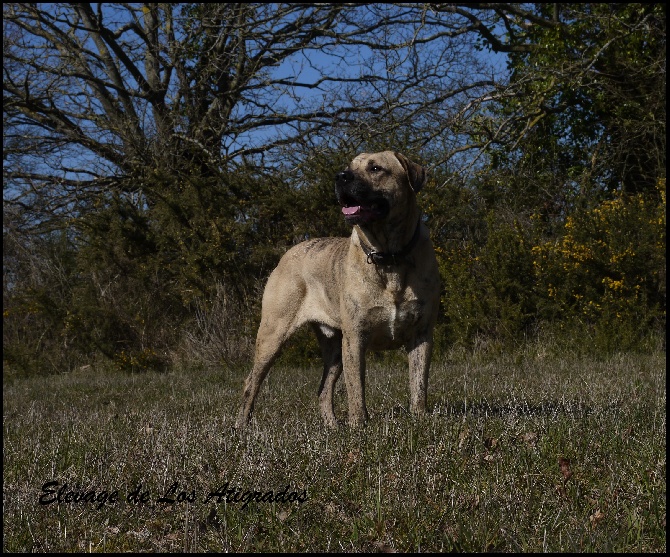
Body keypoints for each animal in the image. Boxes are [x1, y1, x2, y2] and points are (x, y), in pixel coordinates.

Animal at [236, 150, 440, 428]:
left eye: (375, 168)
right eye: (348, 167)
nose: (341, 176)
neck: (389, 257)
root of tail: (287, 254)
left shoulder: (421, 333)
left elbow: (418, 384)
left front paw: (419, 418)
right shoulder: (355, 337)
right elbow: (356, 388)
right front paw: (359, 424)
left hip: (333, 348)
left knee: (323, 388)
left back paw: (332, 426)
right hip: (273, 333)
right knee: (252, 381)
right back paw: (241, 424)